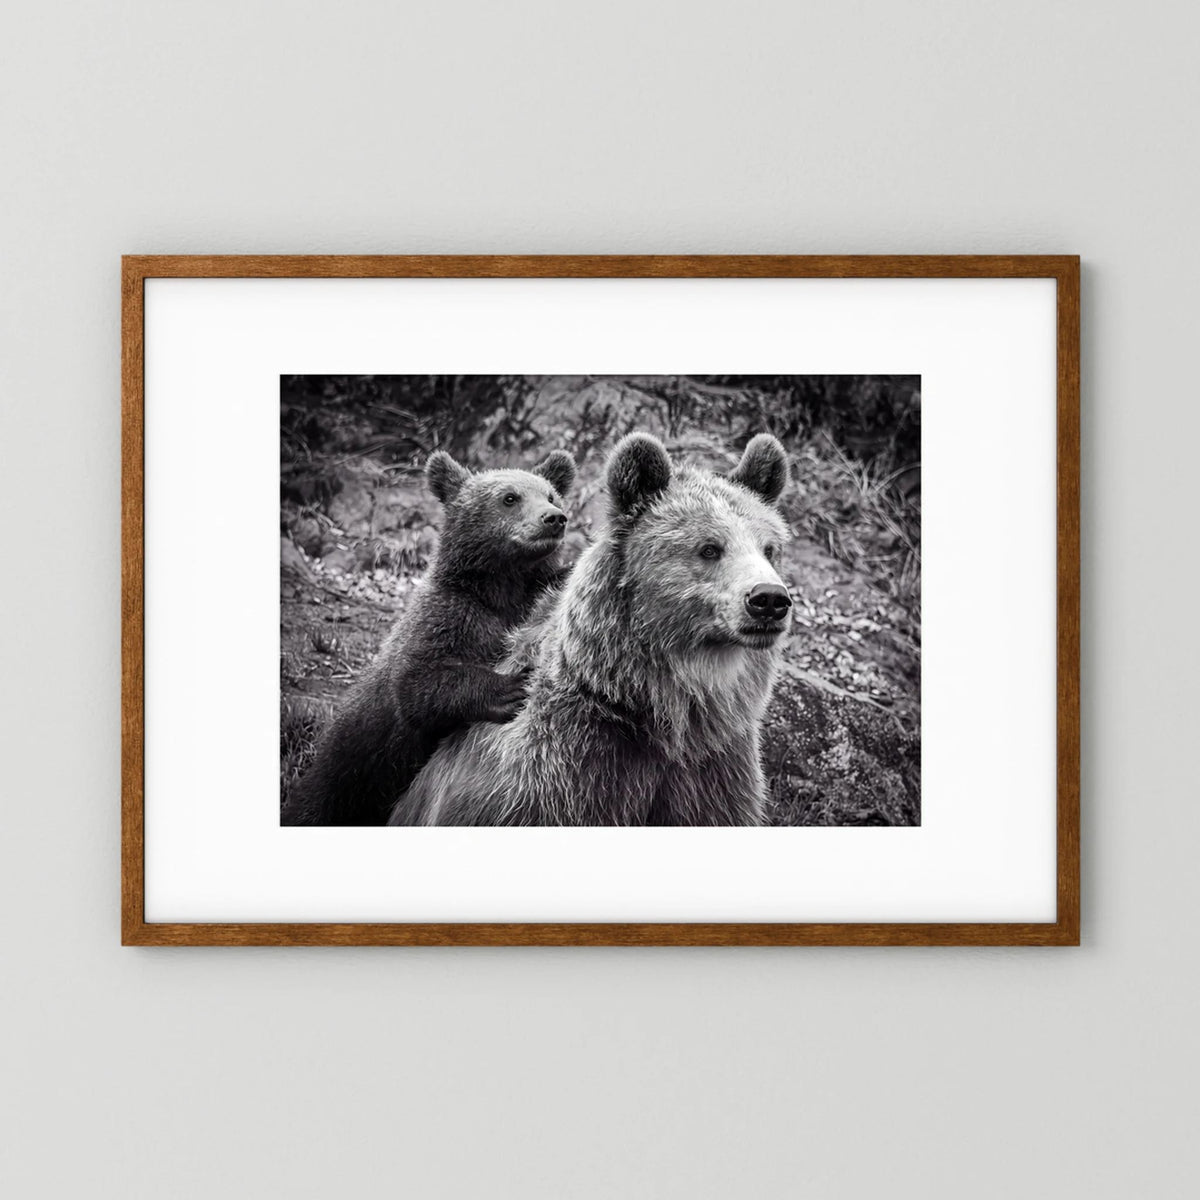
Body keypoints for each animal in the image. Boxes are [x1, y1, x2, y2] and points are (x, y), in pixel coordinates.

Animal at [282, 447, 576, 826]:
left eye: (551, 494)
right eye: (510, 497)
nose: (554, 518)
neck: (500, 589)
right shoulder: (448, 617)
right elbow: (417, 684)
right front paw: (509, 687)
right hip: (349, 776)